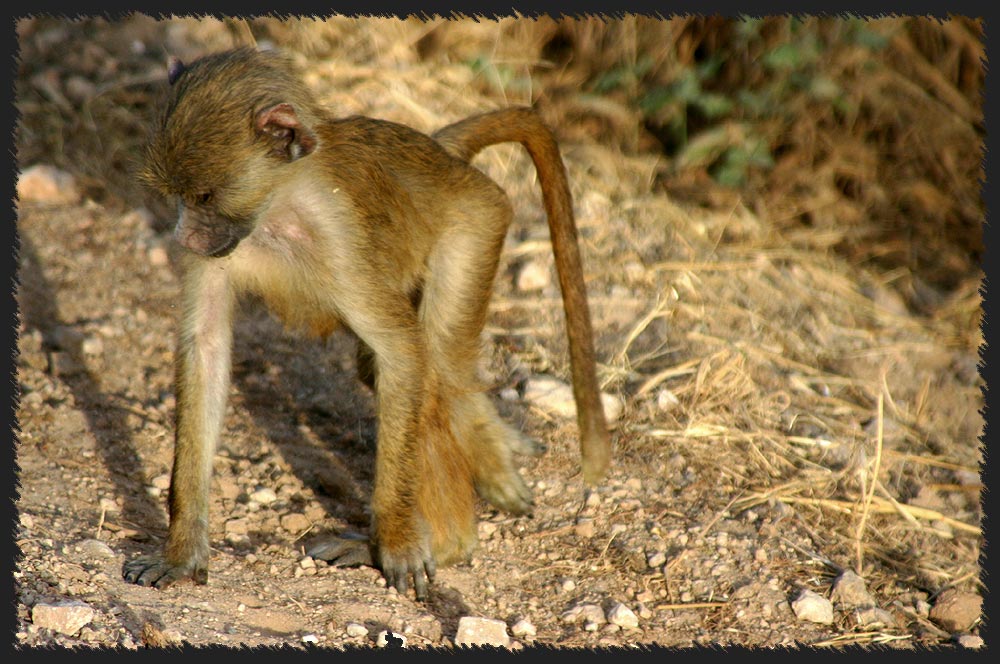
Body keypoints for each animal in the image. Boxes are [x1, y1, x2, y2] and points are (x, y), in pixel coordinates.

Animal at [125, 46, 608, 596]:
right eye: (179, 196)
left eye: (205, 196)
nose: (183, 238)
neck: (277, 208)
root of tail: (440, 155)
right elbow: (205, 348)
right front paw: (182, 552)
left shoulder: (340, 235)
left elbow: (403, 352)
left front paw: (396, 542)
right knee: (396, 371)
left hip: (476, 226)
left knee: (433, 367)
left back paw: (448, 542)